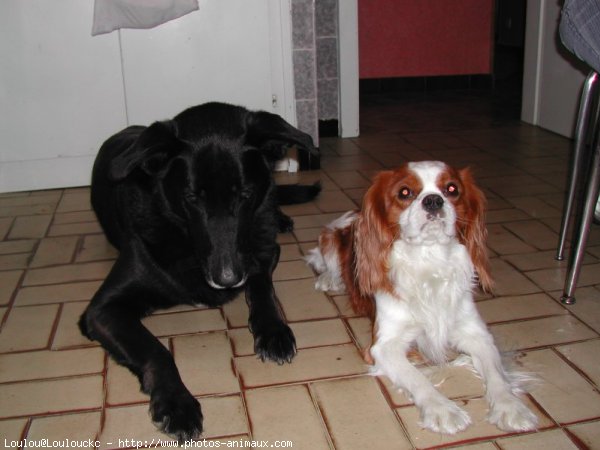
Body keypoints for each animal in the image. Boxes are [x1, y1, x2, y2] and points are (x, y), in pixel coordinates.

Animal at [82, 102, 322, 440]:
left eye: (244, 194)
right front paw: (176, 402)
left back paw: (283, 219)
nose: (227, 279)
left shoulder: (265, 251)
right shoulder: (102, 310)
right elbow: (156, 349)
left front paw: (273, 330)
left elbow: (262, 287)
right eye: (192, 198)